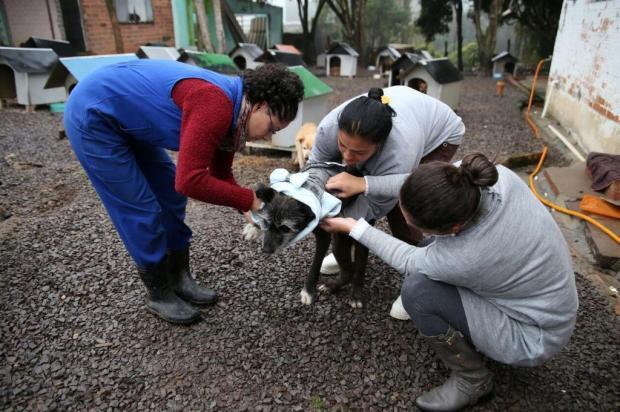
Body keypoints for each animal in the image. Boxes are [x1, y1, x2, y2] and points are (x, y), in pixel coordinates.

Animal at [241, 163, 368, 308]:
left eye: (285, 228)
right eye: (266, 222)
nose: (265, 250)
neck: (302, 188)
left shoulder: (324, 237)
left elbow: (315, 265)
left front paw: (308, 291)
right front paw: (253, 228)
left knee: (359, 269)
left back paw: (355, 296)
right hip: (338, 243)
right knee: (347, 271)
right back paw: (332, 286)